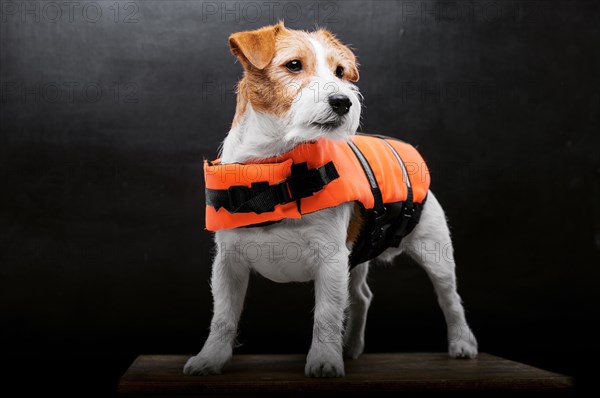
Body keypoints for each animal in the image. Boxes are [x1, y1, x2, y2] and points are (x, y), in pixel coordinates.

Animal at [184, 23, 478, 378]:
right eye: (293, 65)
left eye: (340, 72)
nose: (342, 100)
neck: (273, 168)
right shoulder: (229, 263)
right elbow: (223, 316)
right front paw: (210, 358)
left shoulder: (331, 259)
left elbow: (326, 315)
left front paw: (324, 360)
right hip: (358, 258)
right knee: (362, 297)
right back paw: (350, 346)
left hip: (434, 251)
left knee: (450, 298)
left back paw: (462, 343)